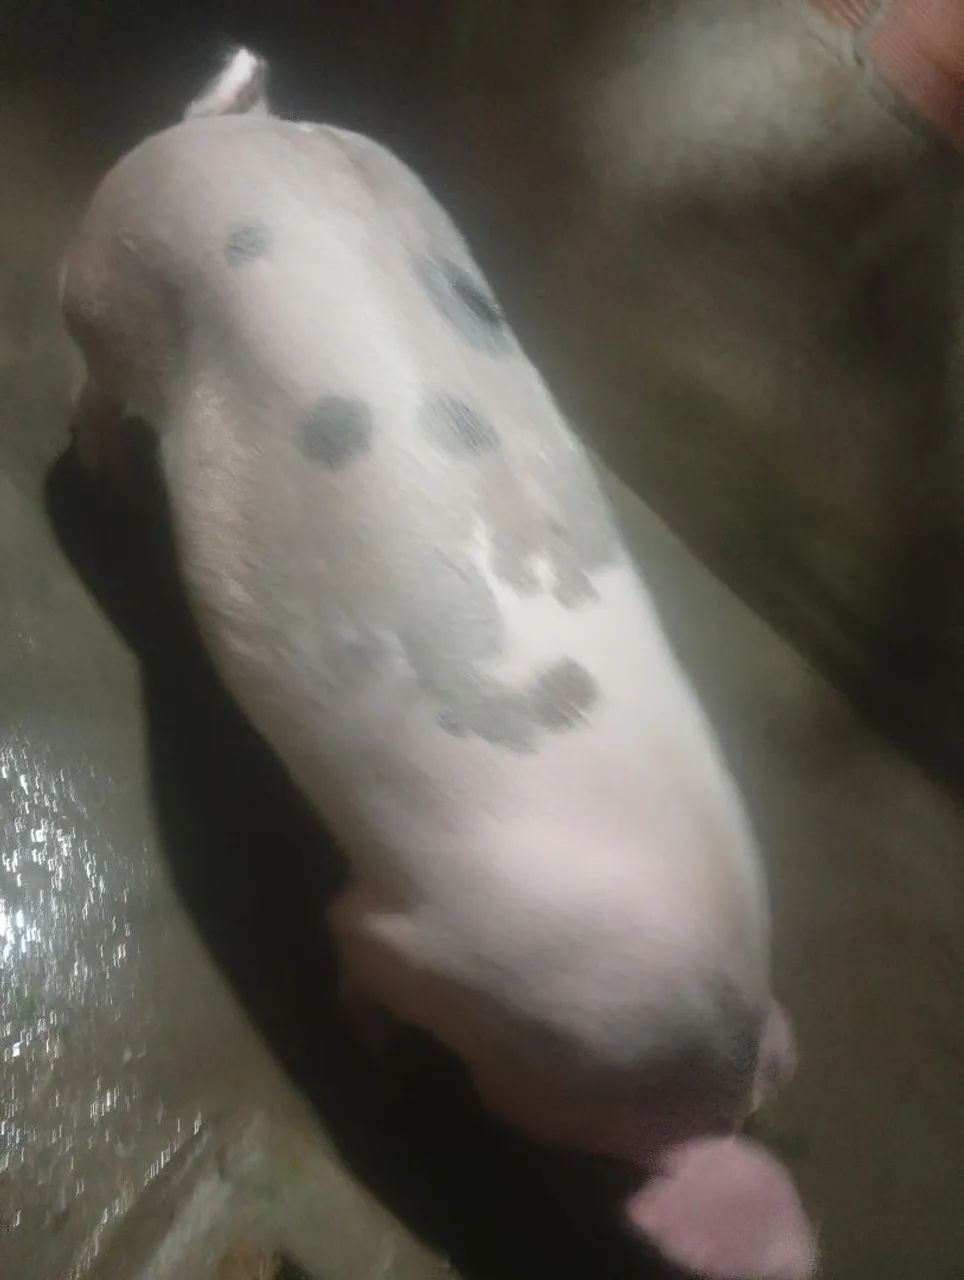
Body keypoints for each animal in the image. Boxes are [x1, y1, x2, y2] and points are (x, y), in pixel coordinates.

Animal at [60, 47, 817, 1280]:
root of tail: (232, 126)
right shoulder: (417, 942)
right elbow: (352, 956)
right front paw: (386, 1074)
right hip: (111, 280)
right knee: (87, 402)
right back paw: (113, 492)